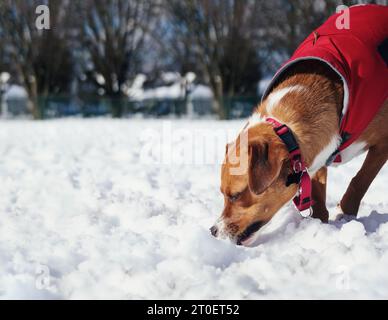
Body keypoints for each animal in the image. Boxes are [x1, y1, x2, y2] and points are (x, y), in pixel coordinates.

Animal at [211, 4, 388, 245]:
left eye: (236, 195)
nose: (213, 231)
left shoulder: (383, 143)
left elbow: (359, 181)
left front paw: (345, 215)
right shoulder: (317, 159)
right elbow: (317, 194)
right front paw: (320, 223)